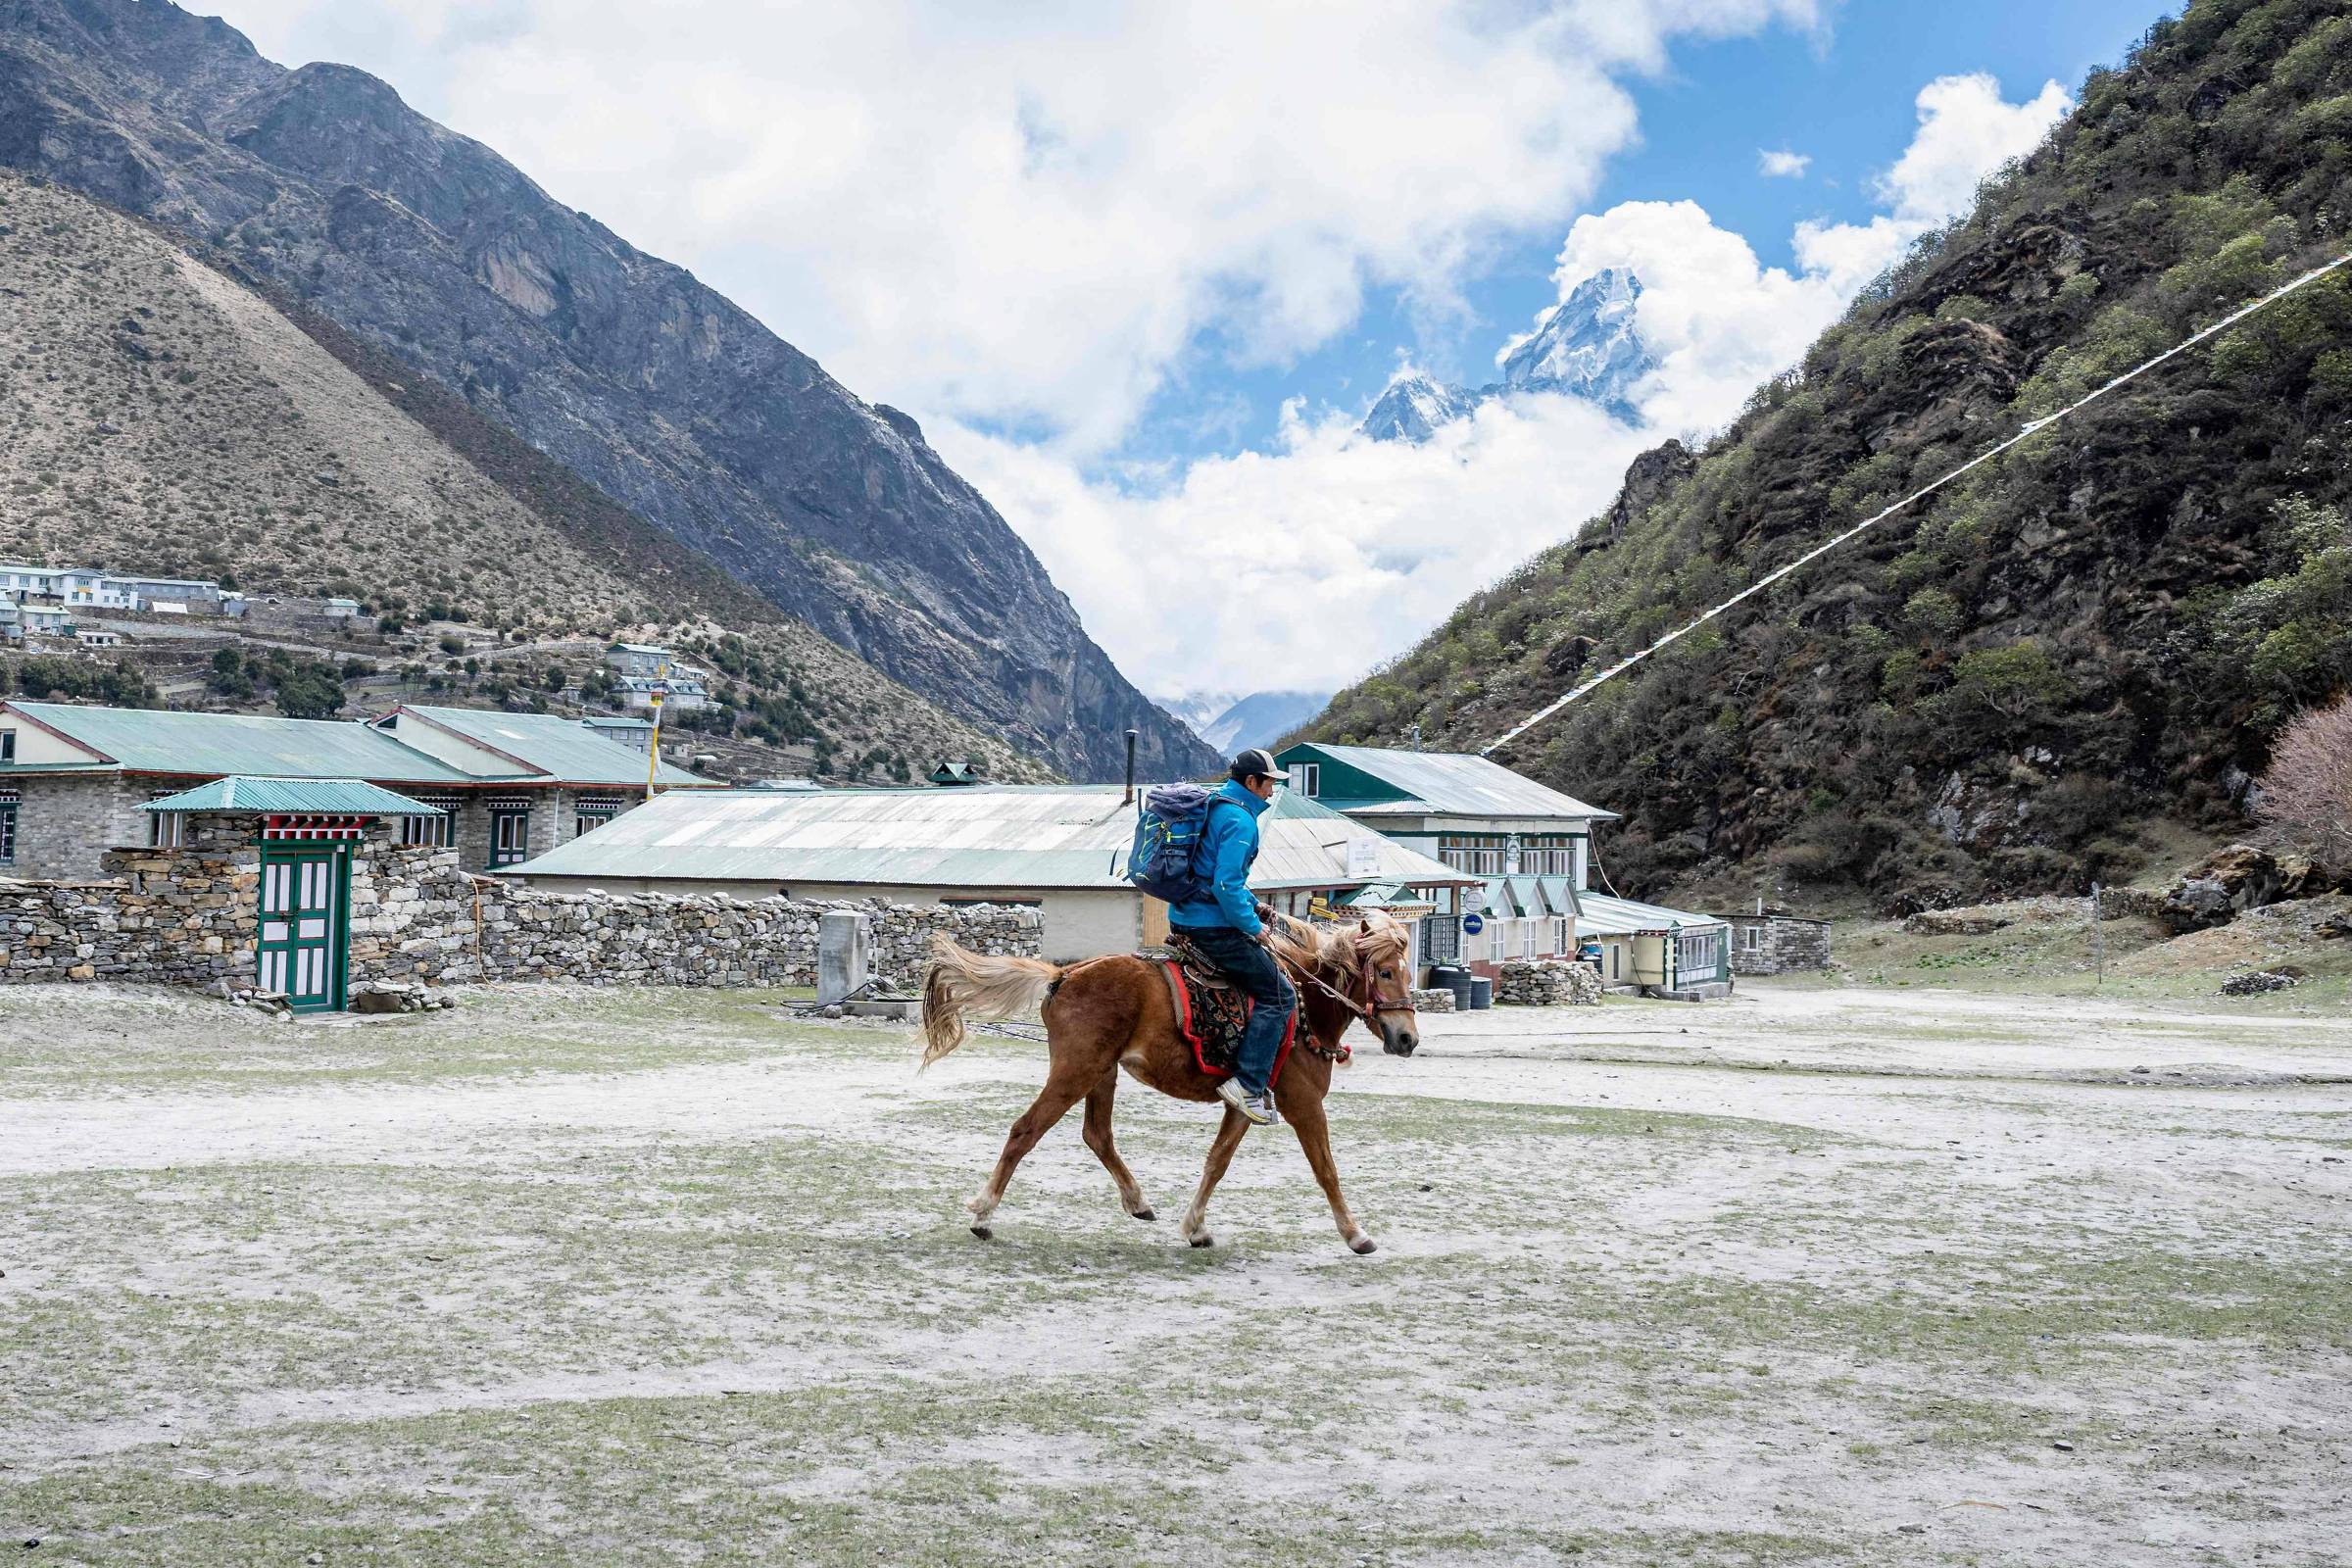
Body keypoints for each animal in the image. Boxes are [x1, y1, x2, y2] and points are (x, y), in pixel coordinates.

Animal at [921, 911, 1420, 1259]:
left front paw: (1196, 1227)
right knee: (1026, 1130)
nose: (1407, 1039)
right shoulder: (1304, 1105)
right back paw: (983, 1214)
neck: (1304, 1004)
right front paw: (1356, 1235)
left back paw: (1138, 1202)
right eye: (1386, 972)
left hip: (1101, 1073)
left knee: (1097, 1135)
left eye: (1408, 972)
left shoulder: (1244, 1104)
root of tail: (1064, 975)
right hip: (1075, 1071)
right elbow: (1326, 1171)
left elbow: (1217, 1162)